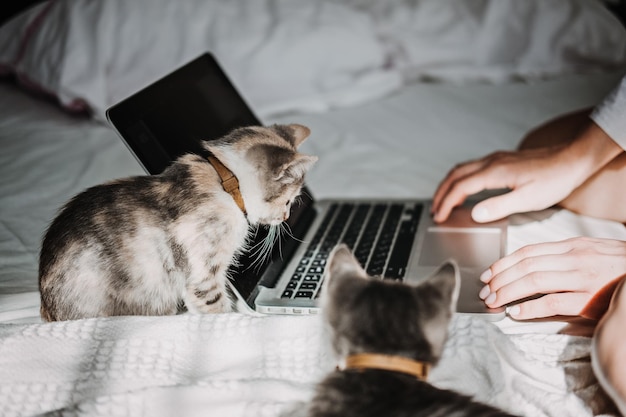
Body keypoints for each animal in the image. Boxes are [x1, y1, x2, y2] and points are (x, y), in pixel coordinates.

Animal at [37, 122, 316, 320]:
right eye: (289, 201)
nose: (286, 217)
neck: (226, 182)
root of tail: (47, 308)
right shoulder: (202, 274)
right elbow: (217, 308)